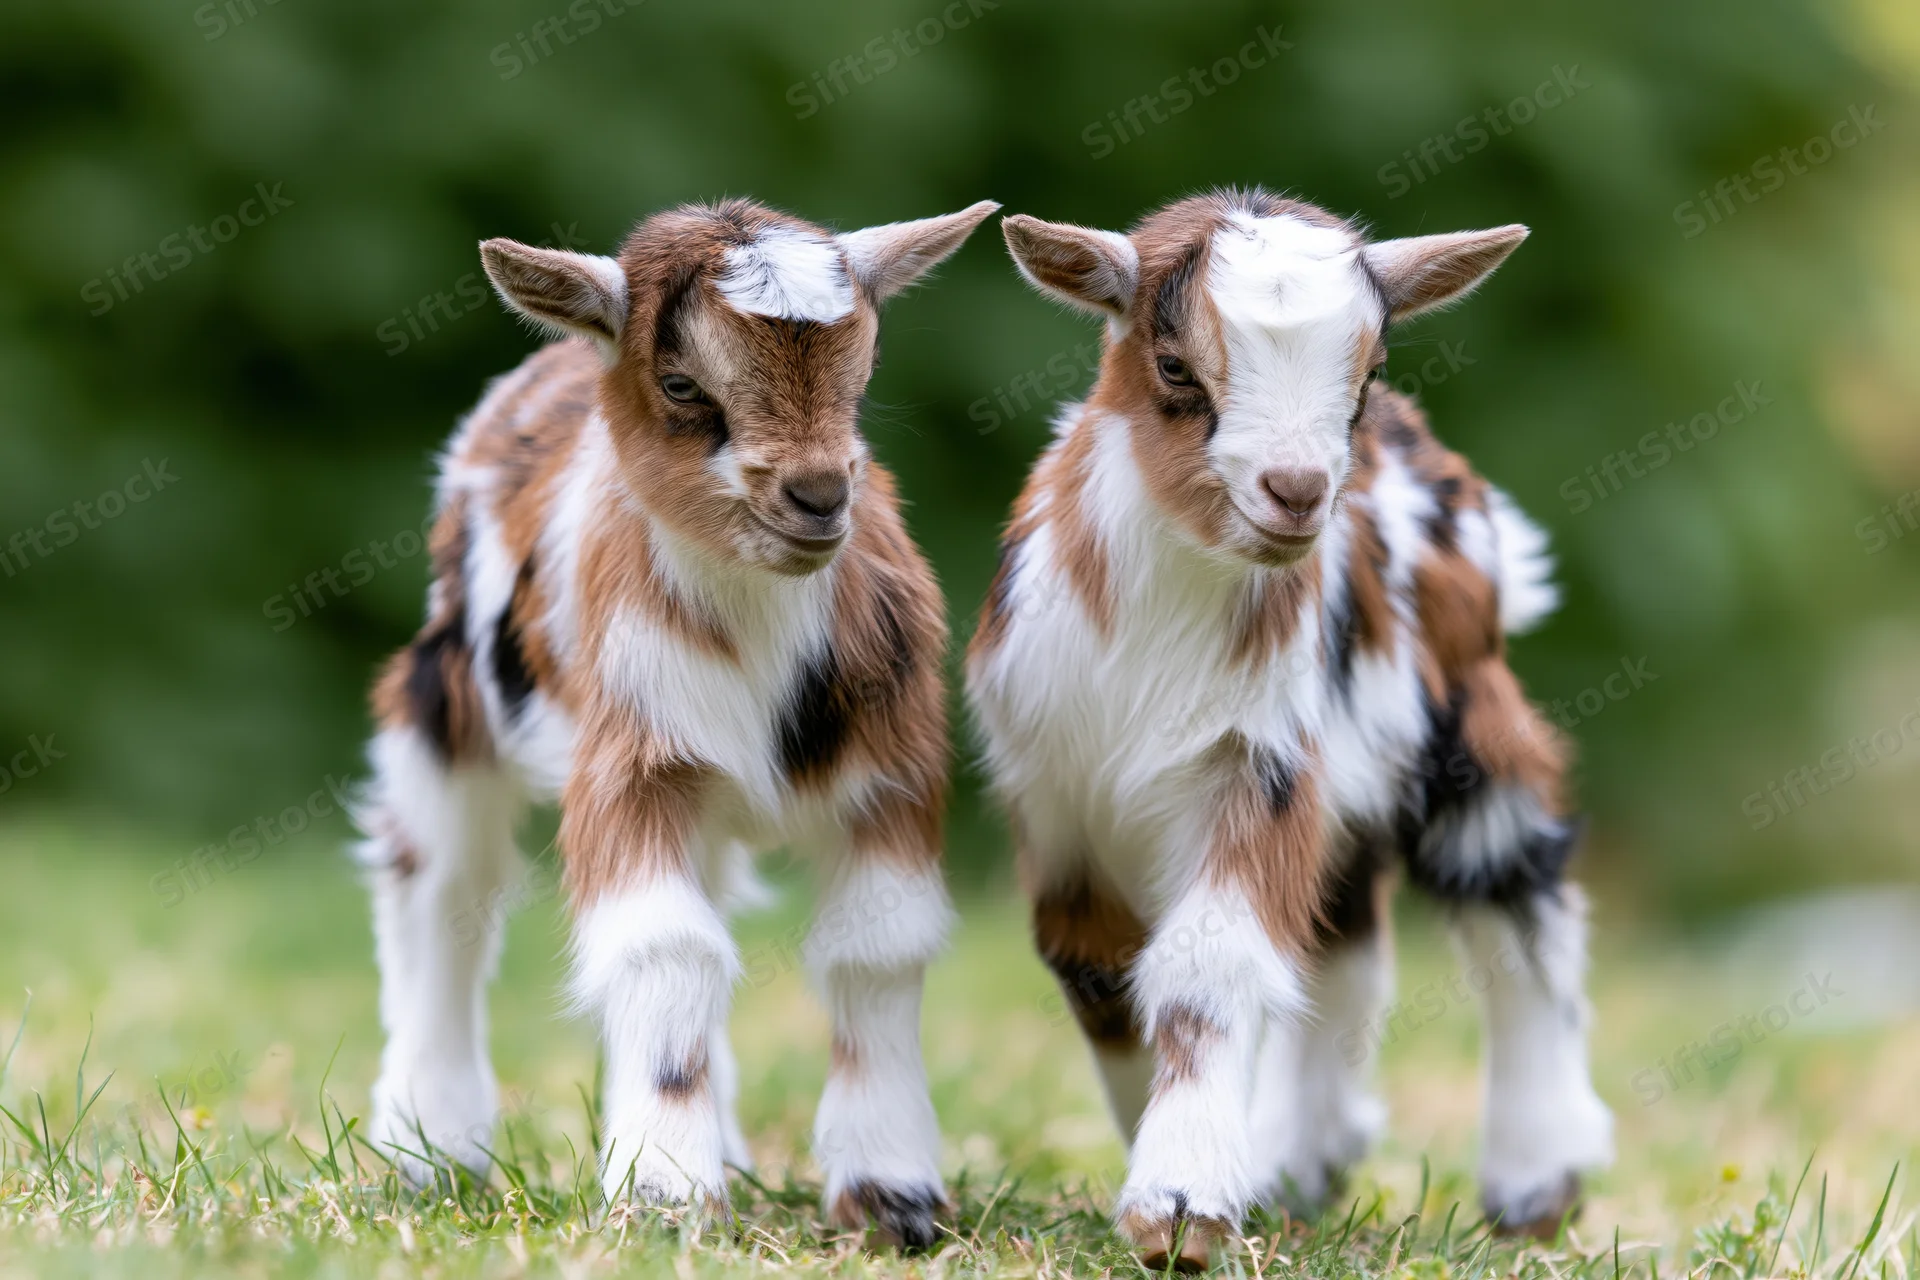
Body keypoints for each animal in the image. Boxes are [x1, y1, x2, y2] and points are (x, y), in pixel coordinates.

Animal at [354, 196, 997, 1246]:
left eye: (861, 377)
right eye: (682, 382)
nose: (819, 496)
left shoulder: (892, 772)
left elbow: (877, 949)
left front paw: (892, 1197)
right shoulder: (632, 765)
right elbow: (666, 947)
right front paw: (664, 1194)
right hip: (444, 702)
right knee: (443, 893)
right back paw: (430, 1150)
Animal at [965, 189, 1612, 1268]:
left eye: (1367, 370)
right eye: (1174, 364)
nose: (1298, 489)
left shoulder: (1259, 761)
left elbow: (1209, 963)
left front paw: (1181, 1201)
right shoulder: (1054, 794)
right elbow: (1099, 969)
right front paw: (1189, 1163)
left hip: (1468, 728)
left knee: (1521, 909)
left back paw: (1535, 1178)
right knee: (1345, 942)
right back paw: (1304, 1160)